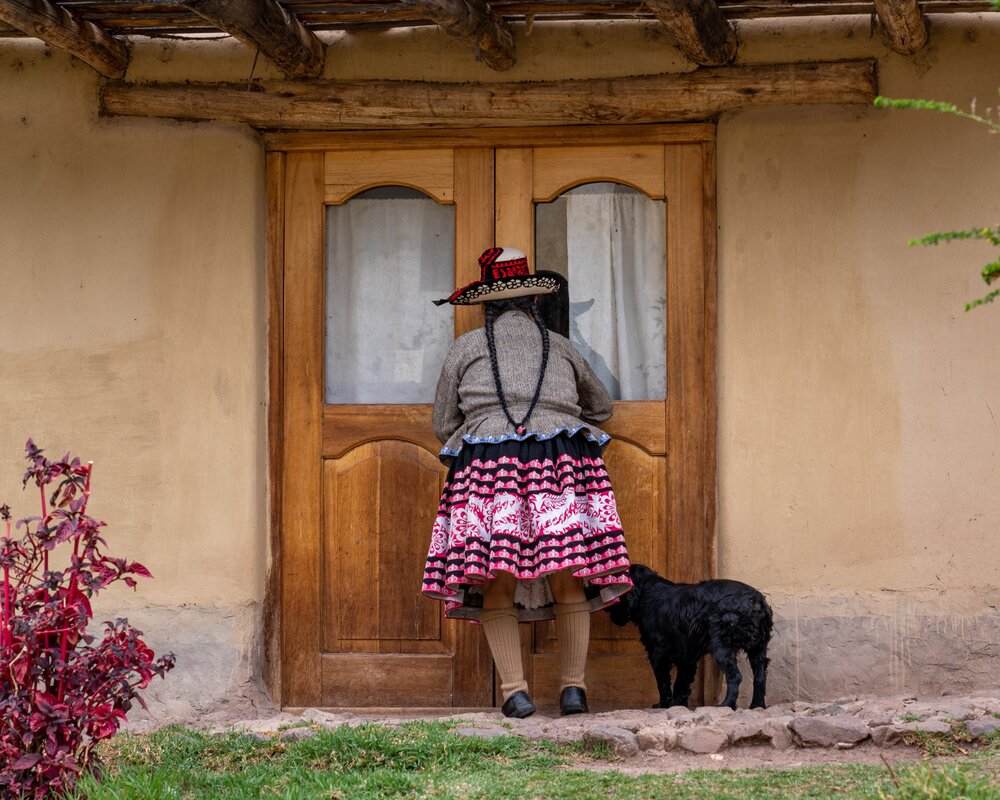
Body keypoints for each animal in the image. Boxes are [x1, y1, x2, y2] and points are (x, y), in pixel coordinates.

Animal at [600, 560, 772, 708]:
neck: (647, 592)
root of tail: (755, 601)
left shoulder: (657, 653)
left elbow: (663, 681)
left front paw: (663, 704)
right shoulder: (687, 655)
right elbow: (681, 683)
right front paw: (677, 704)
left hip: (723, 647)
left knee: (735, 676)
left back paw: (726, 705)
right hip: (758, 648)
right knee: (760, 678)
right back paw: (757, 706)